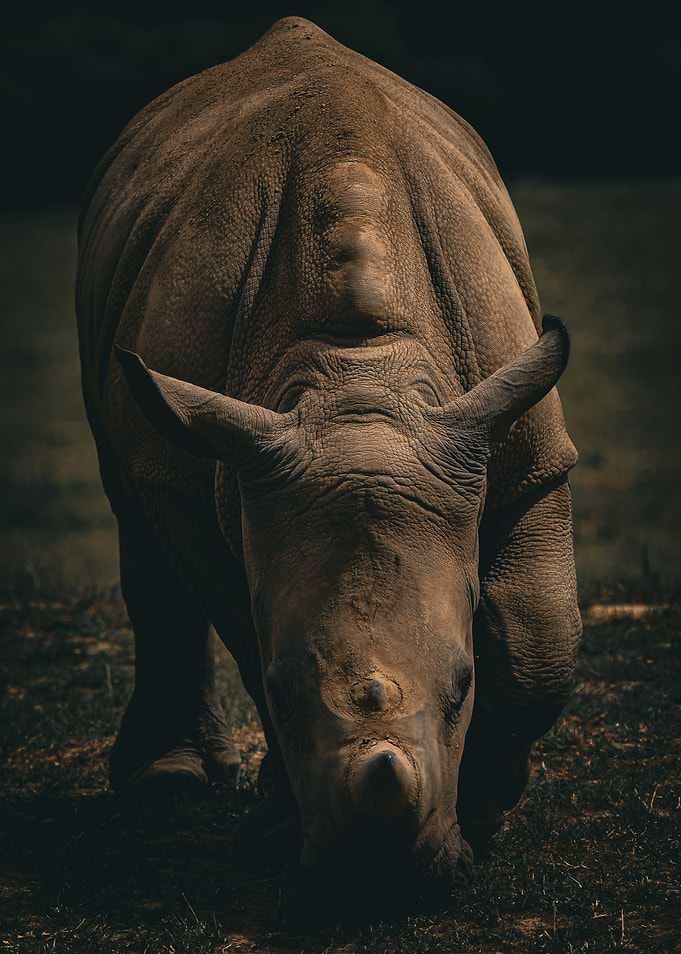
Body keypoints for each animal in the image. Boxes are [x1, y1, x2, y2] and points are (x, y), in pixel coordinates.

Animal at [76, 17, 581, 889]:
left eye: (462, 687)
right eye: (282, 698)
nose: (377, 870)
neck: (358, 379)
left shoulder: (517, 443)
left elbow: (537, 637)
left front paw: (486, 812)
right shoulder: (211, 470)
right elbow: (247, 633)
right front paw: (281, 830)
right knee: (131, 501)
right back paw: (170, 785)